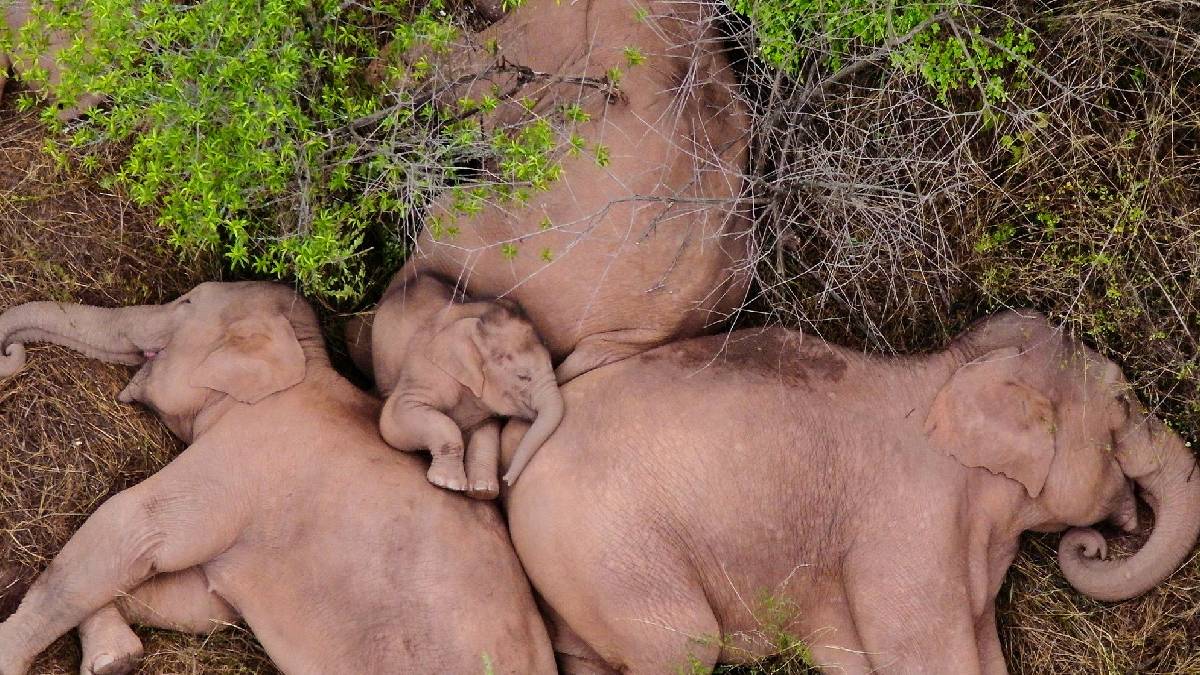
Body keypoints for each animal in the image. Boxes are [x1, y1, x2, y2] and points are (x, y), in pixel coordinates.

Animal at [372, 273, 564, 499]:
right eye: (523, 376)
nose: (507, 479)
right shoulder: (427, 371)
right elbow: (394, 420)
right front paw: (447, 484)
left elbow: (486, 432)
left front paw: (483, 491)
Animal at [494, 309, 1200, 672]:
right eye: (1125, 403)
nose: (1091, 544)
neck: (947, 373)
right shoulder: (908, 529)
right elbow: (923, 658)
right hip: (609, 551)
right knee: (682, 646)